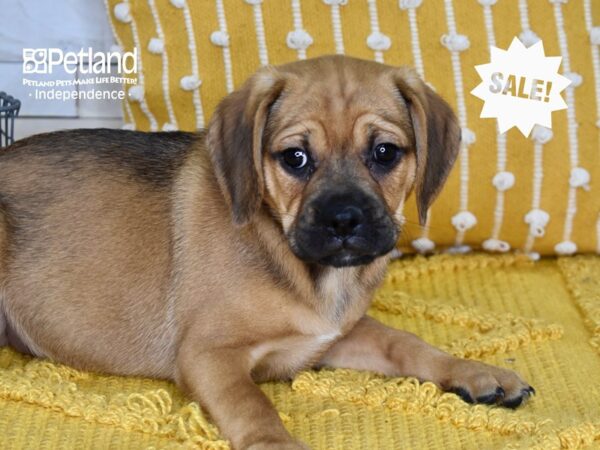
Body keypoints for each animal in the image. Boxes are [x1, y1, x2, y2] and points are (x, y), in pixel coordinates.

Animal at [0, 57, 536, 450]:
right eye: (294, 158)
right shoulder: (209, 355)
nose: (344, 220)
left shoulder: (331, 338)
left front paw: (475, 372)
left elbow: (406, 343)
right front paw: (276, 442)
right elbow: (253, 403)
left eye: (385, 152)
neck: (307, 272)